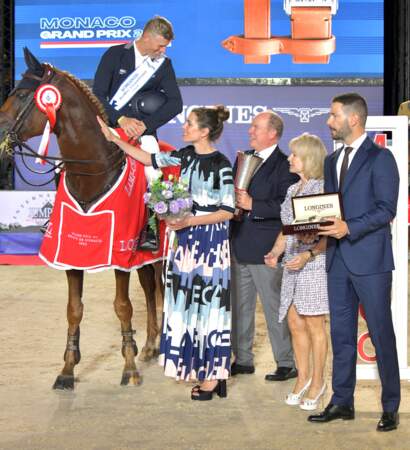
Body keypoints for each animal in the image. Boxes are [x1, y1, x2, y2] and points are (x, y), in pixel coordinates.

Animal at [0, 47, 168, 388]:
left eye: (21, 94)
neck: (93, 171)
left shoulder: (119, 255)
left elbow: (123, 307)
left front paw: (129, 368)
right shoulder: (69, 253)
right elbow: (74, 309)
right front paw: (67, 369)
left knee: (159, 289)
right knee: (149, 287)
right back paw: (149, 345)